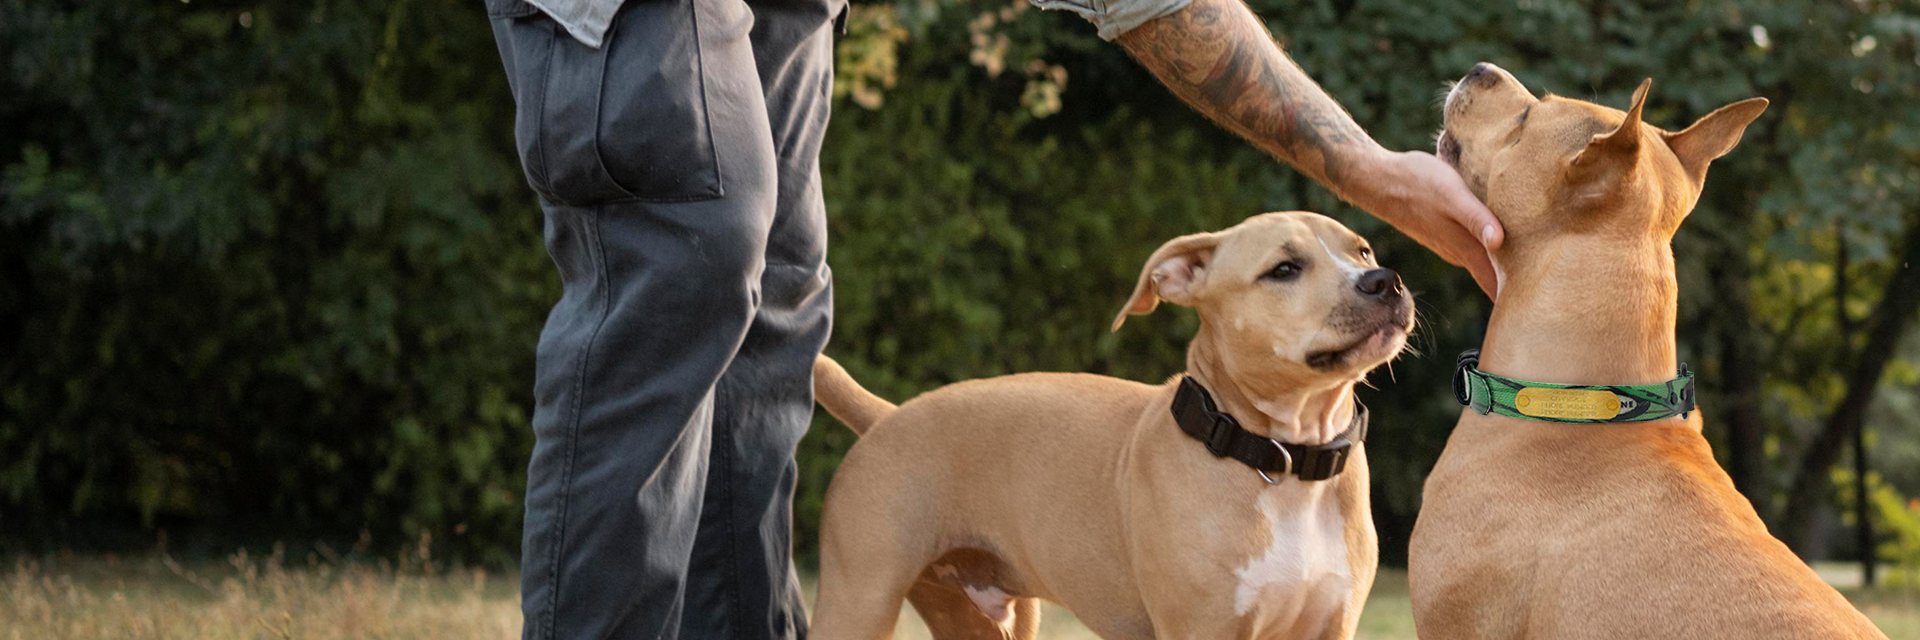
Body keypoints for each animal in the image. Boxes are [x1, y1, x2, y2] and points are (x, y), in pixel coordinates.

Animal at [808, 211, 1414, 640]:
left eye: (1361, 250)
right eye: (1283, 269)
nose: (1384, 280)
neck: (1284, 458)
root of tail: (889, 416)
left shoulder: (1331, 625)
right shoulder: (1203, 629)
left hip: (980, 616)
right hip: (857, 602)